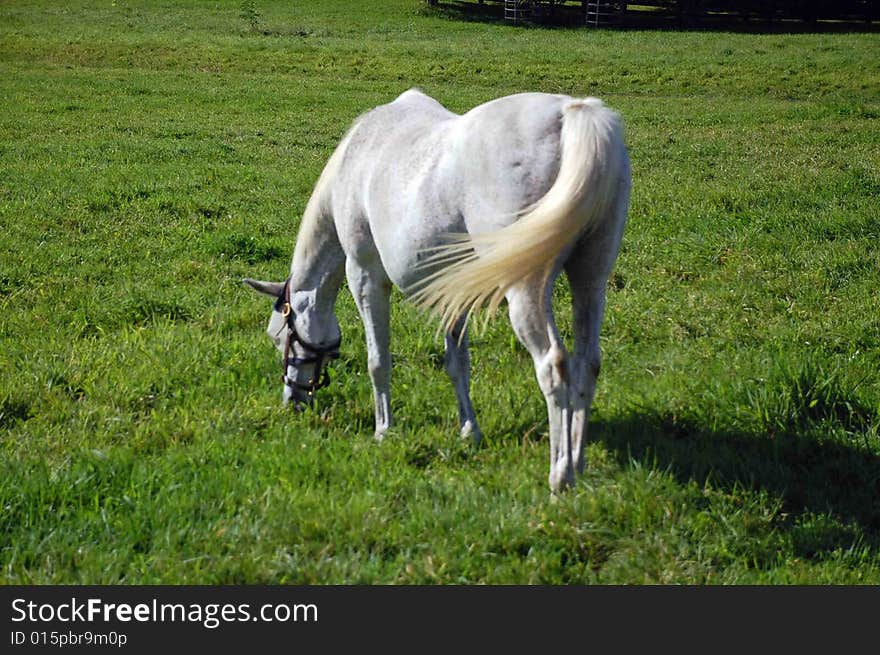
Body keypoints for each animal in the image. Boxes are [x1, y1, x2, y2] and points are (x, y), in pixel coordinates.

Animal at [248, 88, 628, 492]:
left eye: (280, 337)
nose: (292, 400)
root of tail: (569, 112)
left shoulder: (365, 277)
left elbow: (378, 361)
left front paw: (383, 430)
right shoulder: (453, 291)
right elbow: (457, 363)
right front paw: (469, 431)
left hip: (526, 290)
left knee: (553, 366)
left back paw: (561, 474)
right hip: (590, 280)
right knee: (587, 363)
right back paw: (579, 462)